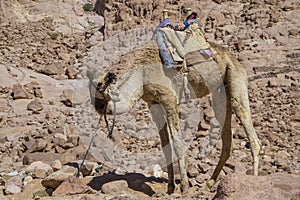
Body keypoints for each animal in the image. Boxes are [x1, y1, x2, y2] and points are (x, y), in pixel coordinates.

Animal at [88, 34, 262, 194]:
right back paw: (208, 184)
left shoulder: (169, 98)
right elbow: (165, 145)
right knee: (227, 141)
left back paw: (253, 179)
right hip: (220, 93)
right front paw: (170, 187)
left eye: (99, 87)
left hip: (235, 78)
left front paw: (184, 186)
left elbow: (177, 142)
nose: (96, 106)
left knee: (249, 129)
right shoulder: (153, 103)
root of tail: (232, 57)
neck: (142, 76)